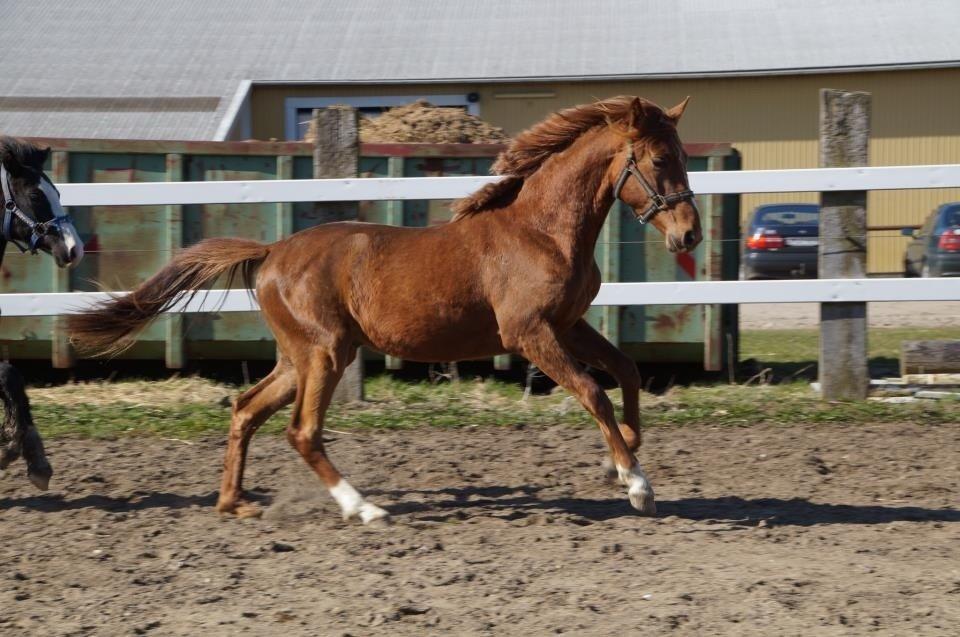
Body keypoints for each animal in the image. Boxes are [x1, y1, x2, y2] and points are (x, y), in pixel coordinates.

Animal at [65, 94, 696, 520]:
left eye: (682, 155)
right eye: (658, 160)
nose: (688, 235)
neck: (542, 231)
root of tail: (271, 252)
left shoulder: (568, 324)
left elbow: (626, 372)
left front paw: (623, 458)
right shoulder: (529, 333)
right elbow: (593, 391)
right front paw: (635, 484)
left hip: (298, 358)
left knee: (246, 409)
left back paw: (234, 503)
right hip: (325, 354)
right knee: (302, 431)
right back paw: (363, 507)